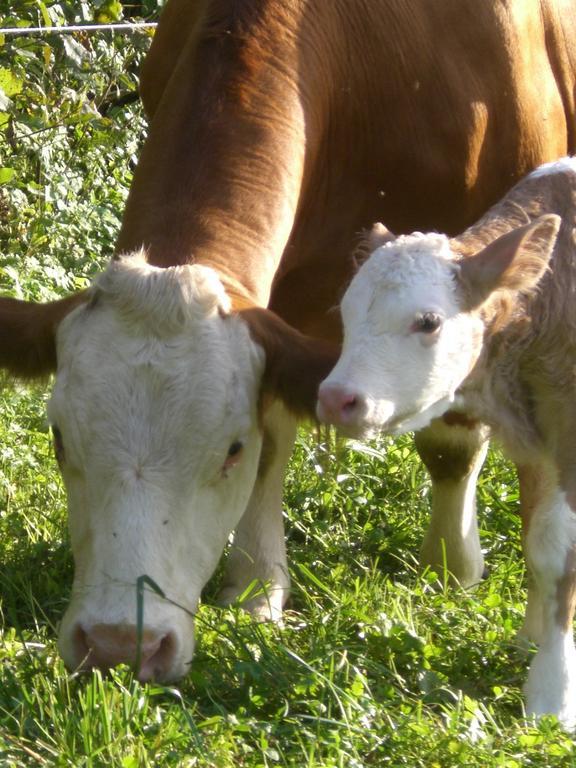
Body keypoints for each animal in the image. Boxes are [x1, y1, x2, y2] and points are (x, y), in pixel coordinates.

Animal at [1, 1, 576, 684]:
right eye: (61, 439)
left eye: (230, 450)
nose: (119, 644)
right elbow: (278, 431)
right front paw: (256, 588)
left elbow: (455, 444)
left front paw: (454, 569)